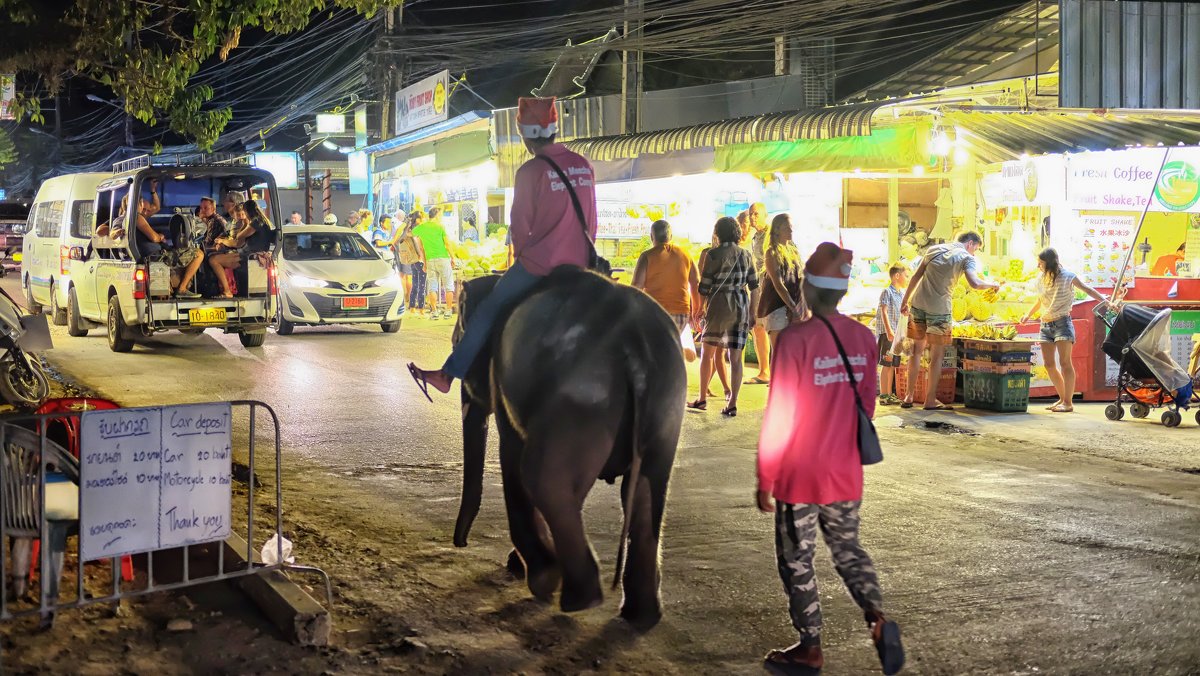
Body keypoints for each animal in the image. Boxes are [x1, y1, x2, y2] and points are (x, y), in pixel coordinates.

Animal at [451, 267, 686, 633]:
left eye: (458, 336)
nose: (460, 543)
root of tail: (635, 342)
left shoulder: (501, 380)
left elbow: (511, 455)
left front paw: (538, 576)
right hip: (666, 403)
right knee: (646, 490)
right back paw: (640, 616)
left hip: (578, 399)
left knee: (539, 476)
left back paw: (578, 597)